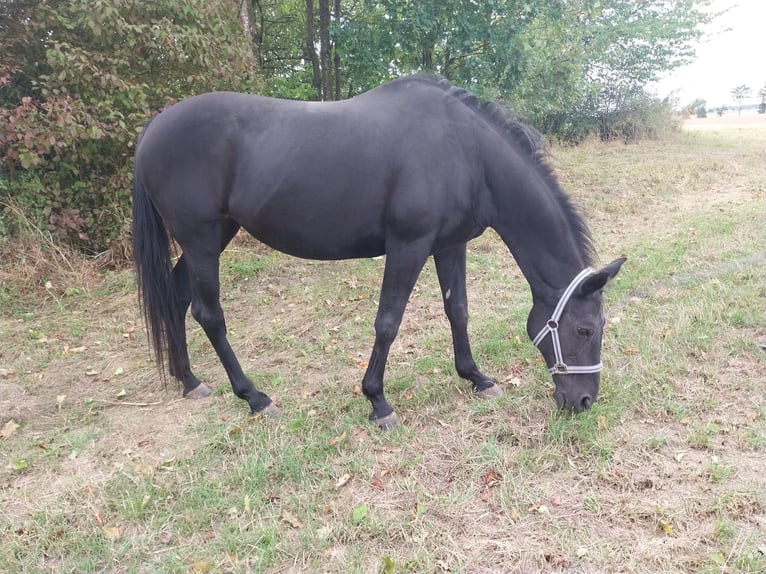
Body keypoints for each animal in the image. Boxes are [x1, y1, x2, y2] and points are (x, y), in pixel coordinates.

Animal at [132, 75, 625, 429]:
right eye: (583, 329)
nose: (583, 400)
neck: (465, 151)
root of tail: (156, 124)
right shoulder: (408, 246)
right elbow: (388, 322)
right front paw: (378, 402)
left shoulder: (449, 245)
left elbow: (458, 311)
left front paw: (476, 378)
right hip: (201, 240)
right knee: (208, 314)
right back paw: (255, 397)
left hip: (211, 238)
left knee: (177, 300)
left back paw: (189, 381)